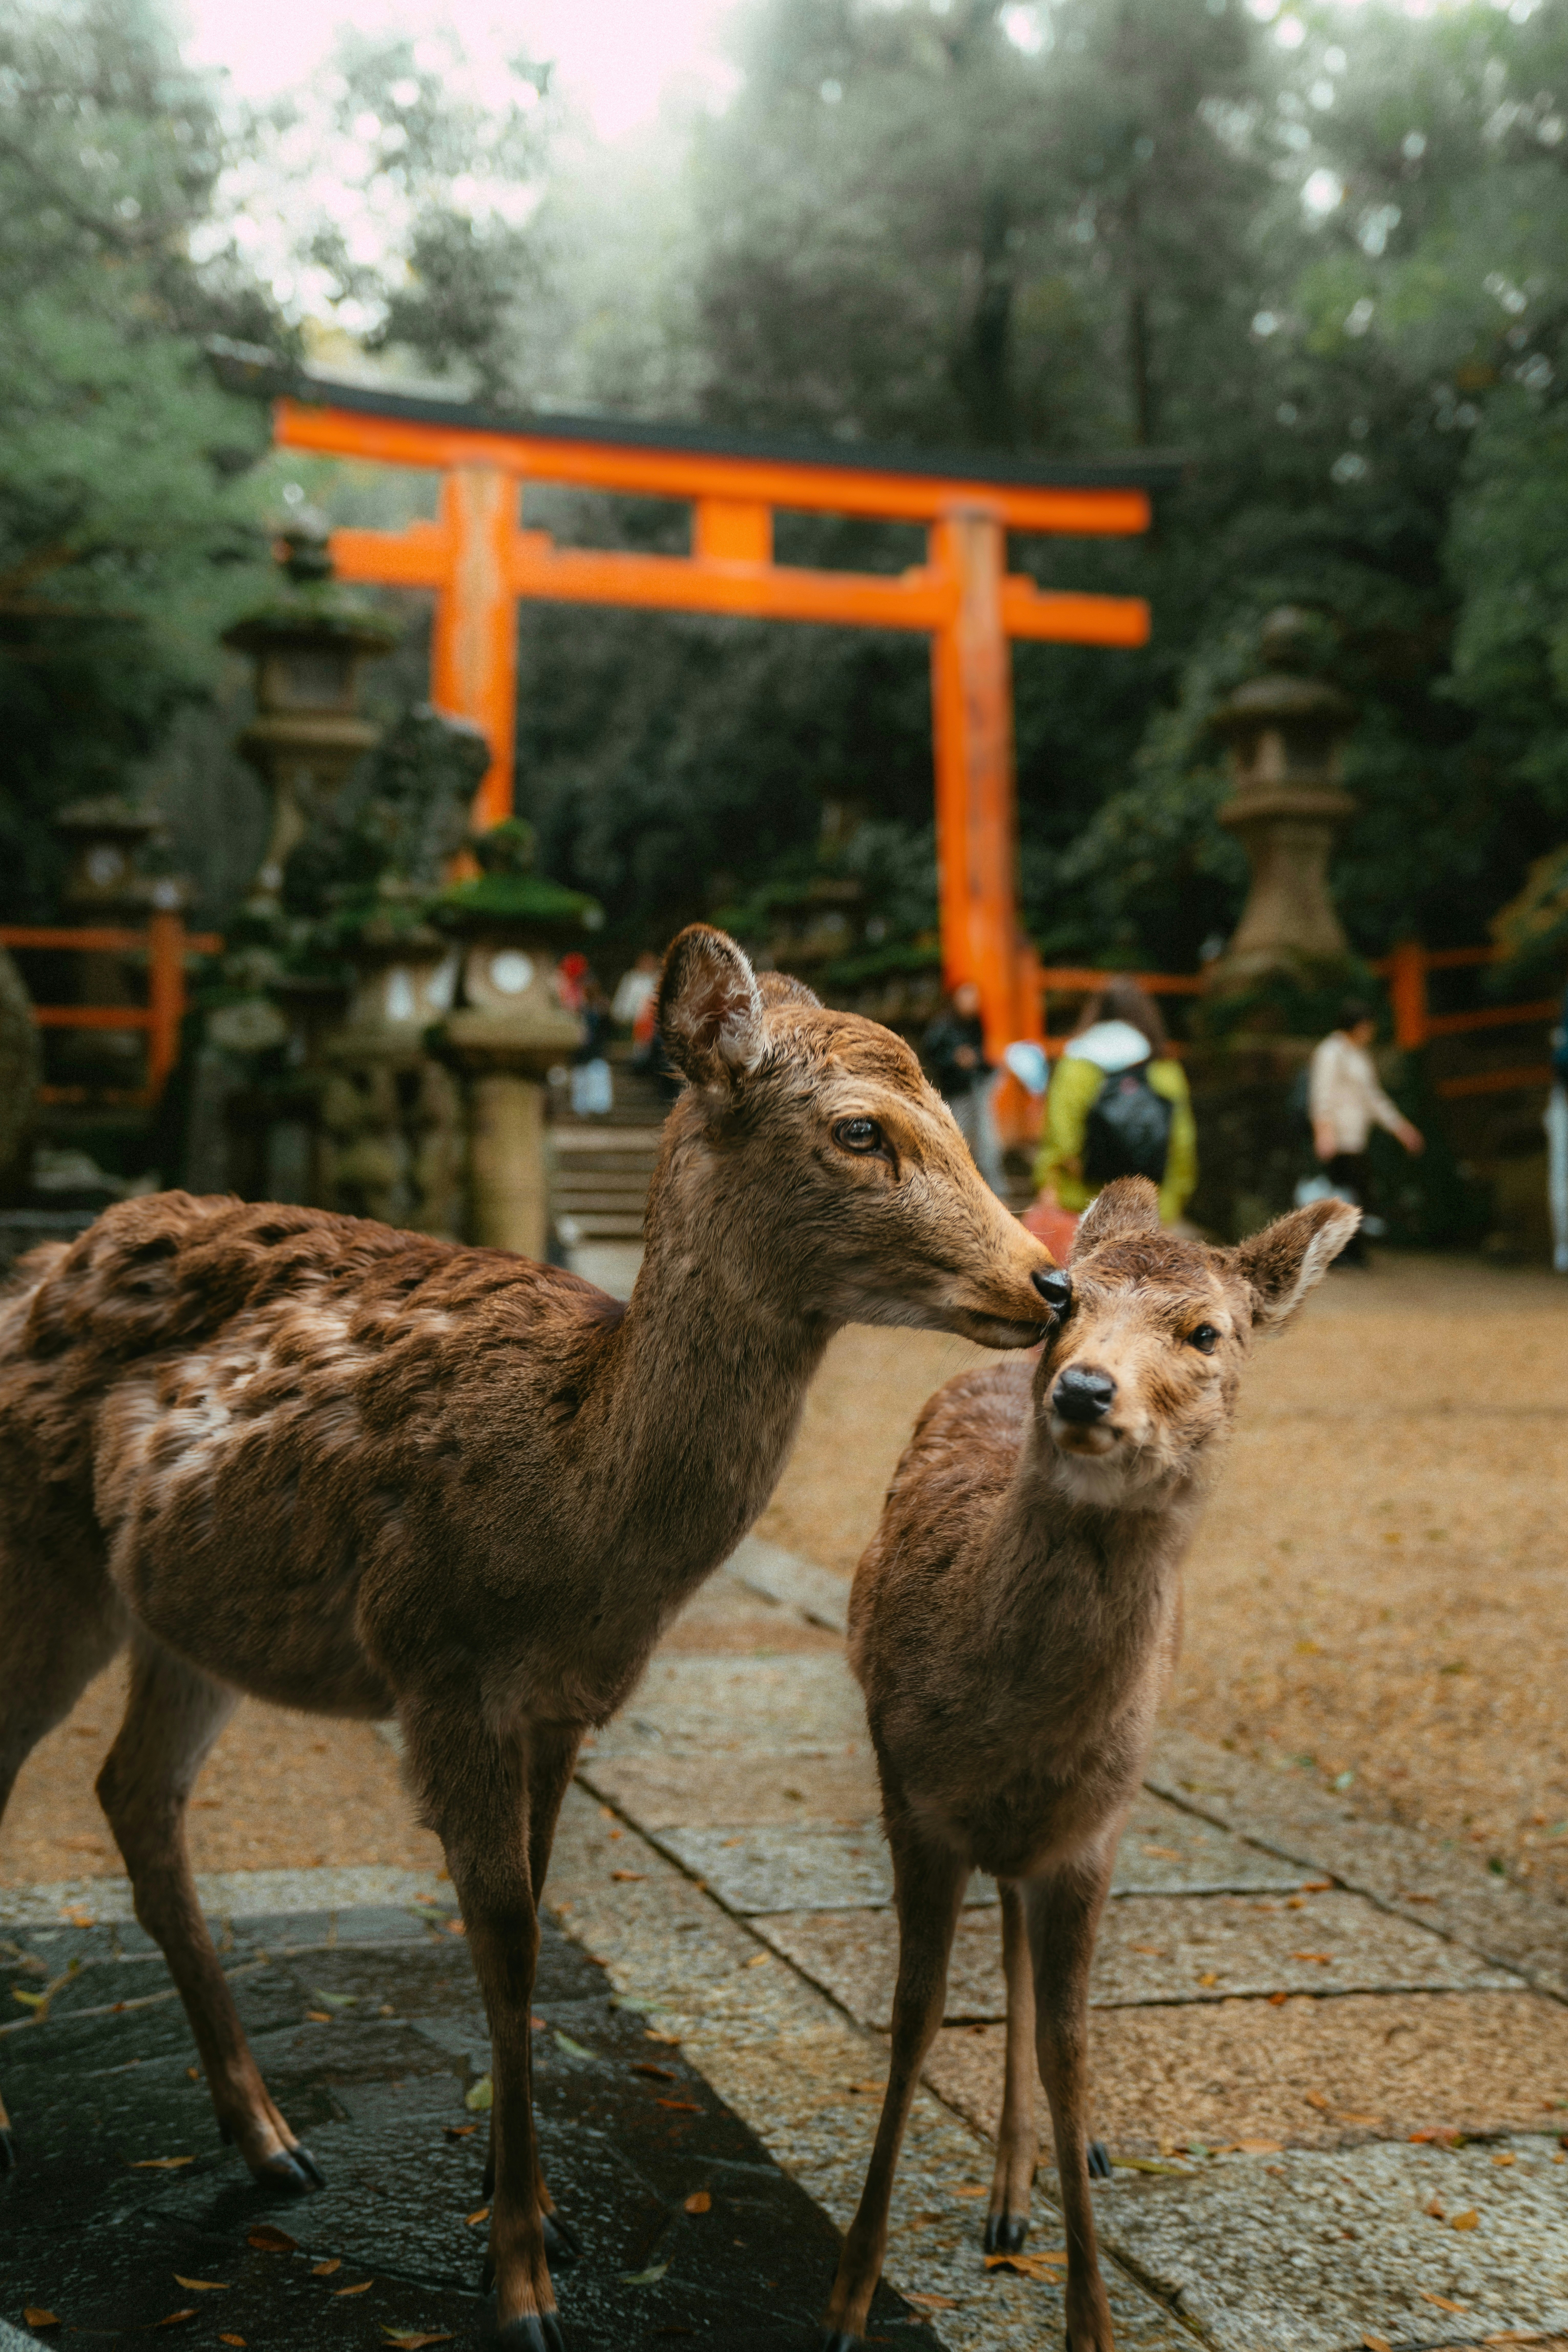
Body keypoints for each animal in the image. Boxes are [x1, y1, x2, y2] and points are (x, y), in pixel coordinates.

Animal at [0, 925, 1058, 2352]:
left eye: (954, 1110)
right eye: (860, 1130)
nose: (1050, 1280)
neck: (576, 1524)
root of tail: (35, 1273)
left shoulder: (562, 1702)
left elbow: (537, 1924)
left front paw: (537, 2214)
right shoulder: (435, 1662)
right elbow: (501, 1941)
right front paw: (519, 2284)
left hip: (179, 1615)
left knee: (135, 1791)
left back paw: (272, 2139)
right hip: (41, 1556)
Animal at [819, 1176, 1360, 2352]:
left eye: (1207, 1332)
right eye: (1068, 1296)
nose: (1080, 1385)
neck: (1007, 1729)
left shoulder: (1092, 1829)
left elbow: (1071, 2049)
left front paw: (1091, 2320)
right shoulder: (909, 1793)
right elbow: (915, 2015)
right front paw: (846, 2298)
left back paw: (1030, 2183)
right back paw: (1005, 2193)